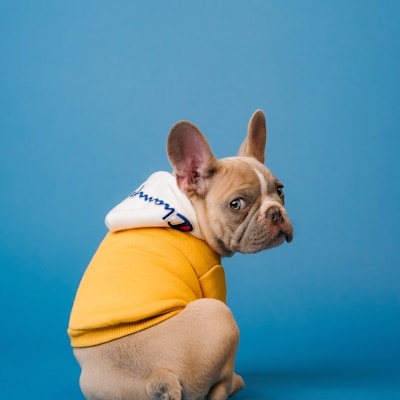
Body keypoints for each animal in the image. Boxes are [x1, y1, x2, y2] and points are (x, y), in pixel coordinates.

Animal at [68, 109, 294, 400]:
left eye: (280, 190)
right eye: (236, 205)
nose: (275, 212)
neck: (189, 210)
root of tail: (158, 375)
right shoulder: (212, 277)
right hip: (219, 315)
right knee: (220, 385)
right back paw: (235, 382)